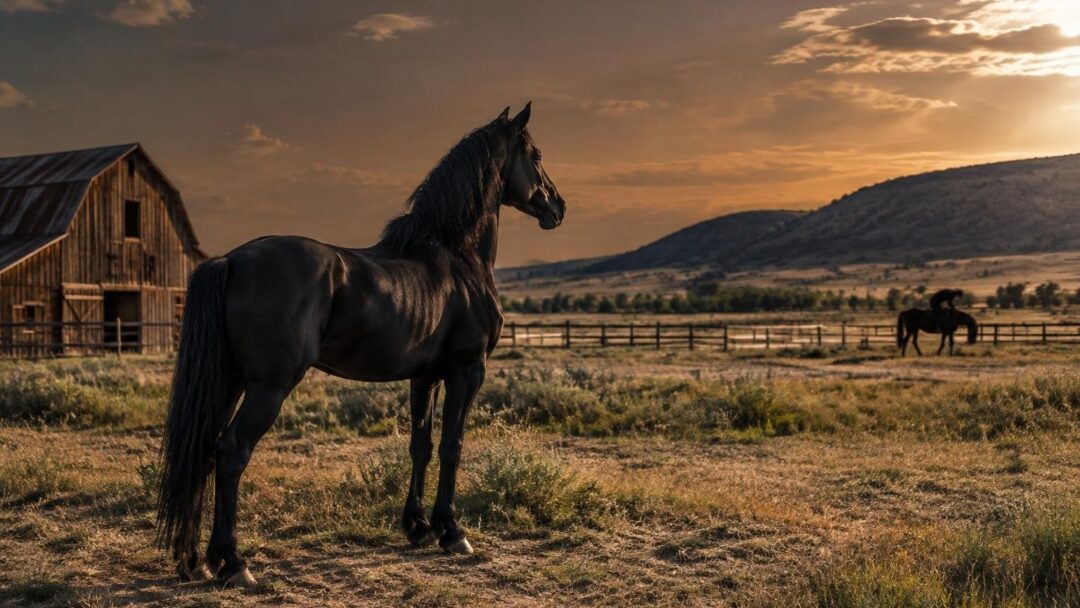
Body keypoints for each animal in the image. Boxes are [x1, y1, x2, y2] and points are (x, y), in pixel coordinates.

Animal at [156, 103, 566, 587]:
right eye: (536, 156)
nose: (558, 207)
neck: (456, 258)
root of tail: (231, 260)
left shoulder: (425, 378)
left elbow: (421, 445)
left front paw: (418, 527)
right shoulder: (468, 370)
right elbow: (453, 446)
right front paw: (452, 532)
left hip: (231, 380)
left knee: (202, 451)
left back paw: (194, 561)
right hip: (268, 386)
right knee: (232, 451)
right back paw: (234, 563)